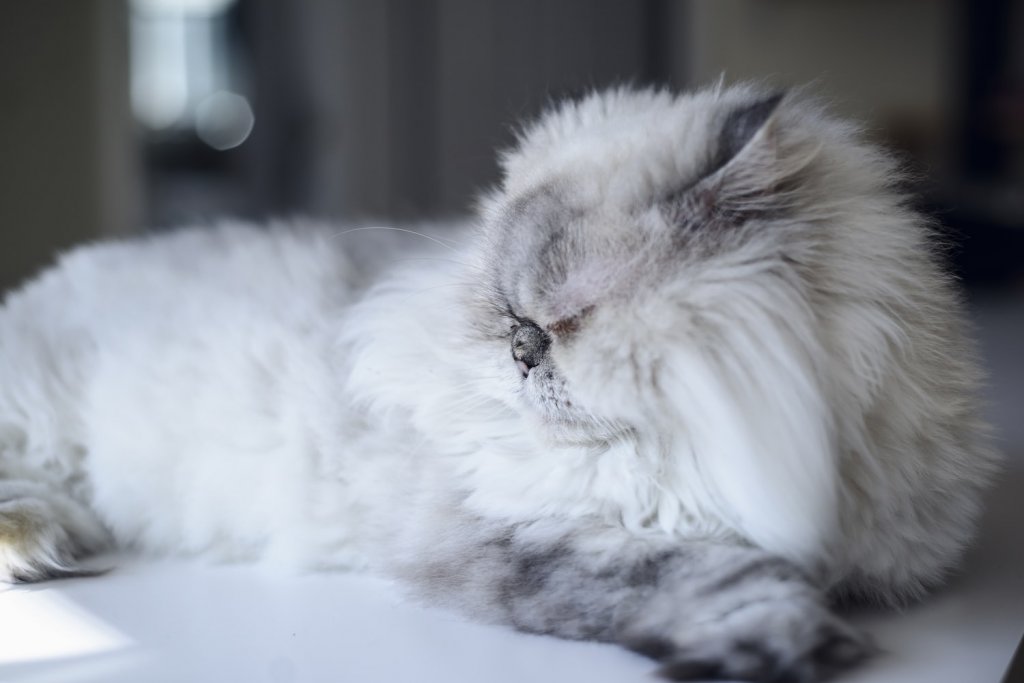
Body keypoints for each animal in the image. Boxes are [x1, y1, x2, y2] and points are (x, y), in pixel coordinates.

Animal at [0, 87, 999, 683]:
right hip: (39, 418)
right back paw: (43, 551)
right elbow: (695, 575)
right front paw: (782, 640)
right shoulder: (512, 532)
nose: (519, 350)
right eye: (507, 313)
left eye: (567, 320)